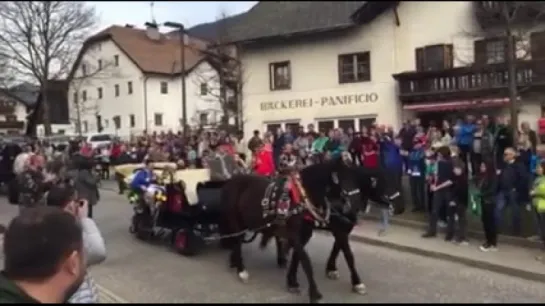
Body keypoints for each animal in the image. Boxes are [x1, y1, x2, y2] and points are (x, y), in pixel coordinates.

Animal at [217, 160, 356, 304]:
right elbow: (305, 261)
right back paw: (241, 270)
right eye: (341, 182)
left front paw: (292, 282)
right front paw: (314, 293)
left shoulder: (304, 234)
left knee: (237, 242)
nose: (350, 216)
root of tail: (229, 182)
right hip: (235, 221)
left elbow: (297, 257)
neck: (301, 198)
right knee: (237, 241)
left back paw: (234, 262)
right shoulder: (295, 235)